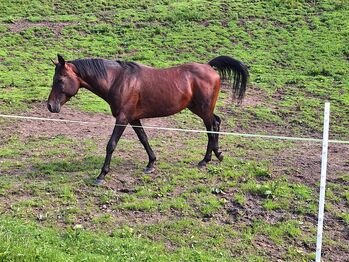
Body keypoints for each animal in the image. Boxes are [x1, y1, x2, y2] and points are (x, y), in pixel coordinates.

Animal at [47, 53, 247, 184]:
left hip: (203, 109)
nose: (50, 106)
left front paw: (101, 175)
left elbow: (111, 144)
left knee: (212, 126)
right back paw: (213, 156)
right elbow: (144, 139)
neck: (118, 80)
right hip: (199, 108)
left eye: (59, 80)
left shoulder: (122, 118)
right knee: (215, 123)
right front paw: (151, 163)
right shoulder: (133, 119)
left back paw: (208, 158)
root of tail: (209, 67)